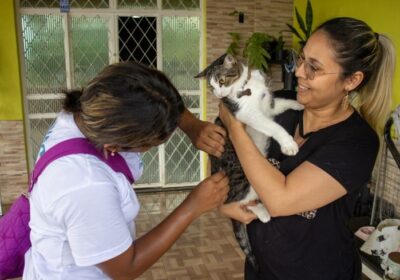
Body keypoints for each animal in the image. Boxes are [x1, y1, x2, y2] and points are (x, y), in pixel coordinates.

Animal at [195, 53, 304, 272]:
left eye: (221, 81)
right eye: (211, 87)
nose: (219, 94)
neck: (247, 86)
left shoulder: (268, 107)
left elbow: (280, 103)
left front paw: (297, 104)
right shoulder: (247, 114)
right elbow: (272, 126)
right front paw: (288, 144)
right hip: (242, 176)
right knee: (236, 201)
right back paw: (262, 212)